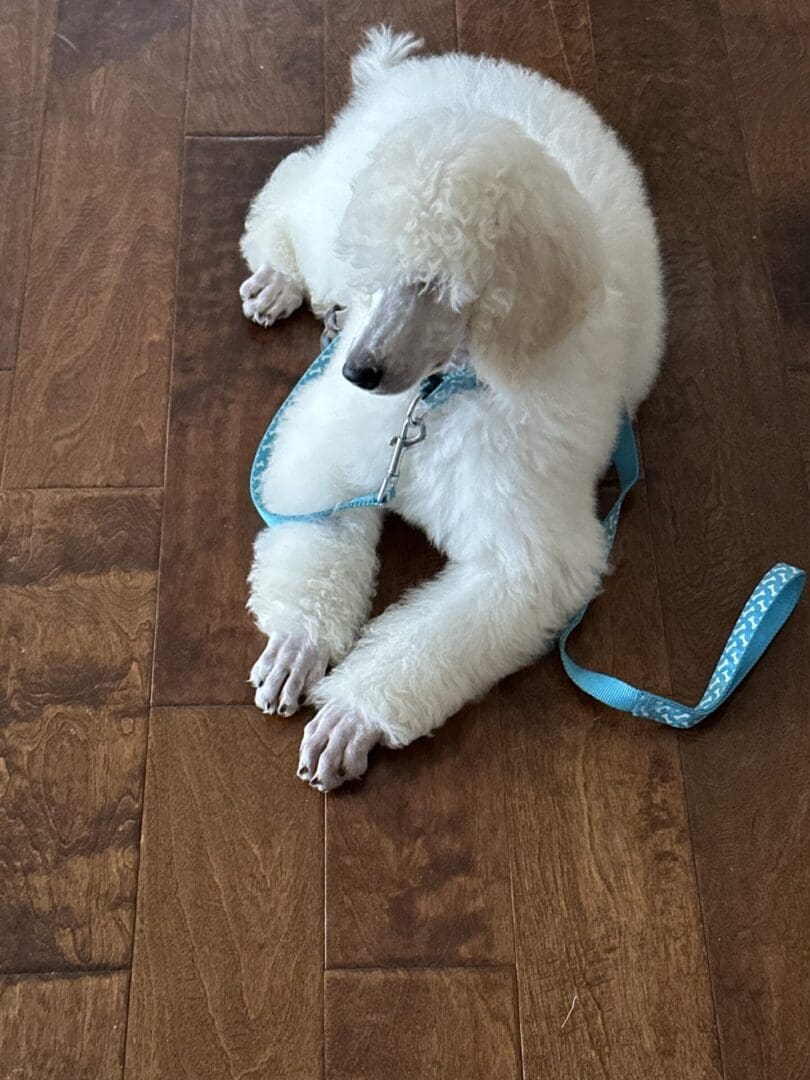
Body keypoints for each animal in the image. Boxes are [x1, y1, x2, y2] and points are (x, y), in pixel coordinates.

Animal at [240, 27, 665, 794]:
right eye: (379, 275)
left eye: (437, 286)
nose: (357, 371)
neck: (436, 397)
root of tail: (408, 72)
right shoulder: (323, 461)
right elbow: (316, 543)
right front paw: (299, 641)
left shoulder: (525, 561)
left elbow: (438, 637)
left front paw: (352, 714)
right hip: (329, 219)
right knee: (293, 183)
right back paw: (278, 276)